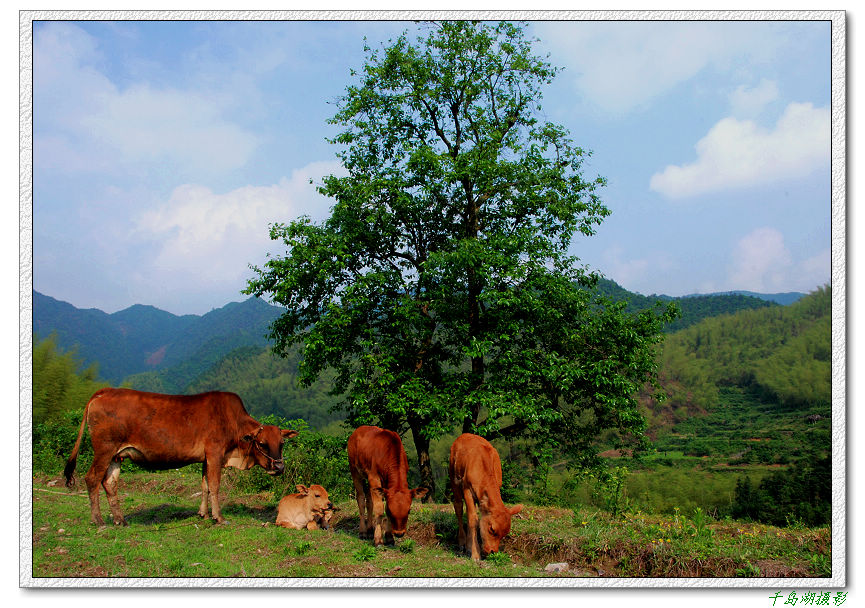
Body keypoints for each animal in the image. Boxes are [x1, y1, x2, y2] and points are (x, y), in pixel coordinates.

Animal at [62, 390, 296, 528]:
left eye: (282, 444)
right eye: (262, 443)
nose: (279, 467)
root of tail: (101, 393)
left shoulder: (205, 458)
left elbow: (204, 486)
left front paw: (203, 514)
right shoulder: (215, 453)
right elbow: (215, 486)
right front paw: (218, 517)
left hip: (116, 455)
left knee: (109, 483)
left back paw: (120, 520)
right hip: (104, 449)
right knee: (92, 479)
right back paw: (98, 520)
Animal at [448, 432, 524, 560]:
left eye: (505, 533)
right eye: (492, 529)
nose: (493, 551)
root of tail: (464, 435)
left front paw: (472, 549)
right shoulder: (467, 488)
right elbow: (472, 519)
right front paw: (475, 554)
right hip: (454, 478)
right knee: (458, 507)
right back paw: (462, 543)